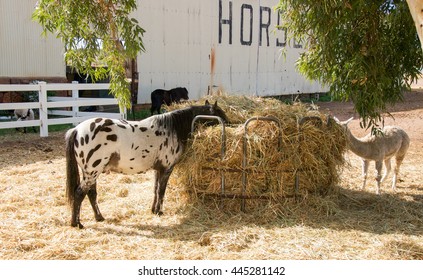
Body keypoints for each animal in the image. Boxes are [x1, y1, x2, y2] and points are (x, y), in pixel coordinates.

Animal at [65, 100, 229, 228]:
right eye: (220, 113)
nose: (229, 123)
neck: (172, 129)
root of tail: (77, 130)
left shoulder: (158, 169)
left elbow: (155, 190)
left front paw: (153, 210)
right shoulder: (167, 169)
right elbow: (161, 191)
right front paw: (159, 211)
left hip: (90, 173)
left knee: (91, 194)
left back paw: (99, 217)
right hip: (92, 172)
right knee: (79, 193)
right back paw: (76, 223)